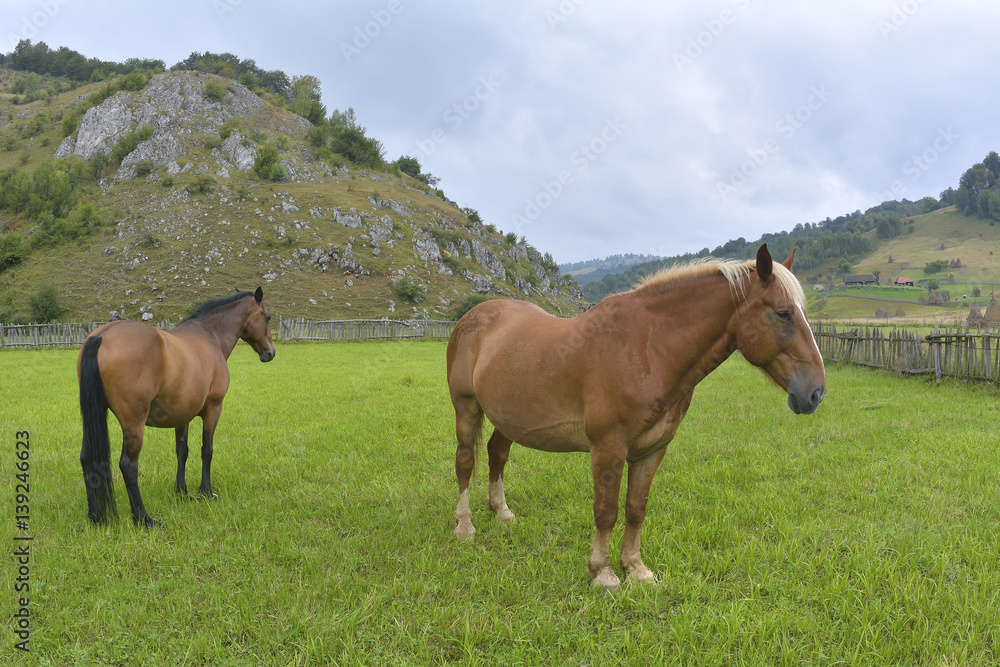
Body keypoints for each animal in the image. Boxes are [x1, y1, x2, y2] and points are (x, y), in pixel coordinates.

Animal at [78, 288, 276, 528]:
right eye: (268, 317)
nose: (271, 352)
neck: (210, 336)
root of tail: (101, 336)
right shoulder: (213, 409)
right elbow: (207, 450)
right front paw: (206, 491)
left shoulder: (183, 416)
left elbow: (182, 452)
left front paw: (181, 492)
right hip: (134, 423)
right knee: (128, 465)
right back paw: (144, 518)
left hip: (92, 418)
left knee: (86, 459)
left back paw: (95, 516)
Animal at [450, 245, 824, 588]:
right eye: (783, 313)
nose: (816, 392)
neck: (648, 350)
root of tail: (472, 316)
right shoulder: (608, 448)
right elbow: (606, 511)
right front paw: (603, 574)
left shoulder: (652, 450)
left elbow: (635, 508)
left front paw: (635, 568)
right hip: (466, 407)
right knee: (466, 462)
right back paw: (464, 526)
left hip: (508, 417)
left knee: (497, 455)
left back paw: (501, 511)